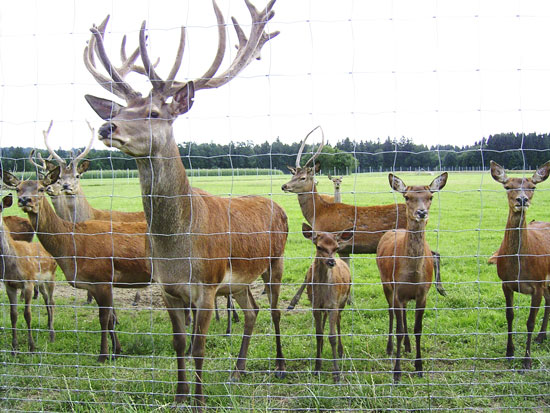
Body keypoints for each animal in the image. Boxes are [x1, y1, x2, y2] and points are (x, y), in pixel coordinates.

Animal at [0, 195, 57, 352]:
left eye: (0, 207)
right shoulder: (9, 284)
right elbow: (13, 314)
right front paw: (14, 347)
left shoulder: (28, 282)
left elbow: (27, 314)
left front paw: (31, 346)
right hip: (41, 281)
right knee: (46, 300)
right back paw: (48, 325)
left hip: (51, 276)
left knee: (52, 301)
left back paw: (52, 334)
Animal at [84, 0, 286, 406]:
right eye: (117, 111)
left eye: (153, 113)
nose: (106, 127)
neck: (177, 247)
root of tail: (278, 205)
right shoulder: (168, 288)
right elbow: (179, 345)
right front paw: (179, 396)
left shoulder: (206, 285)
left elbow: (199, 347)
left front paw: (199, 399)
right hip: (238, 281)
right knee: (252, 311)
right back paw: (239, 369)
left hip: (276, 261)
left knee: (273, 311)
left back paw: (279, 365)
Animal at [302, 222, 354, 380]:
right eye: (319, 247)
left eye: (336, 247)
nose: (331, 262)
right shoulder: (315, 305)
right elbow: (319, 334)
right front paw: (317, 367)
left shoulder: (333, 304)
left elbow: (332, 337)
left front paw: (336, 373)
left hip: (343, 300)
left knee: (338, 320)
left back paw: (341, 351)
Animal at [378, 170, 450, 380]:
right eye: (407, 197)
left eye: (430, 197)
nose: (421, 213)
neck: (412, 276)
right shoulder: (397, 291)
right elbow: (399, 330)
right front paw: (397, 372)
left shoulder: (422, 294)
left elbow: (418, 329)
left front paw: (419, 367)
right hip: (385, 283)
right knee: (392, 313)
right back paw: (390, 347)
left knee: (403, 316)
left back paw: (408, 347)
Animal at [492, 159, 550, 368]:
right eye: (508, 186)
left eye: (533, 186)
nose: (522, 200)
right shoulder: (505, 283)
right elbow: (510, 315)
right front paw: (509, 352)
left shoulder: (537, 284)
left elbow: (530, 322)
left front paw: (527, 361)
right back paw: (541, 337)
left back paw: (540, 336)